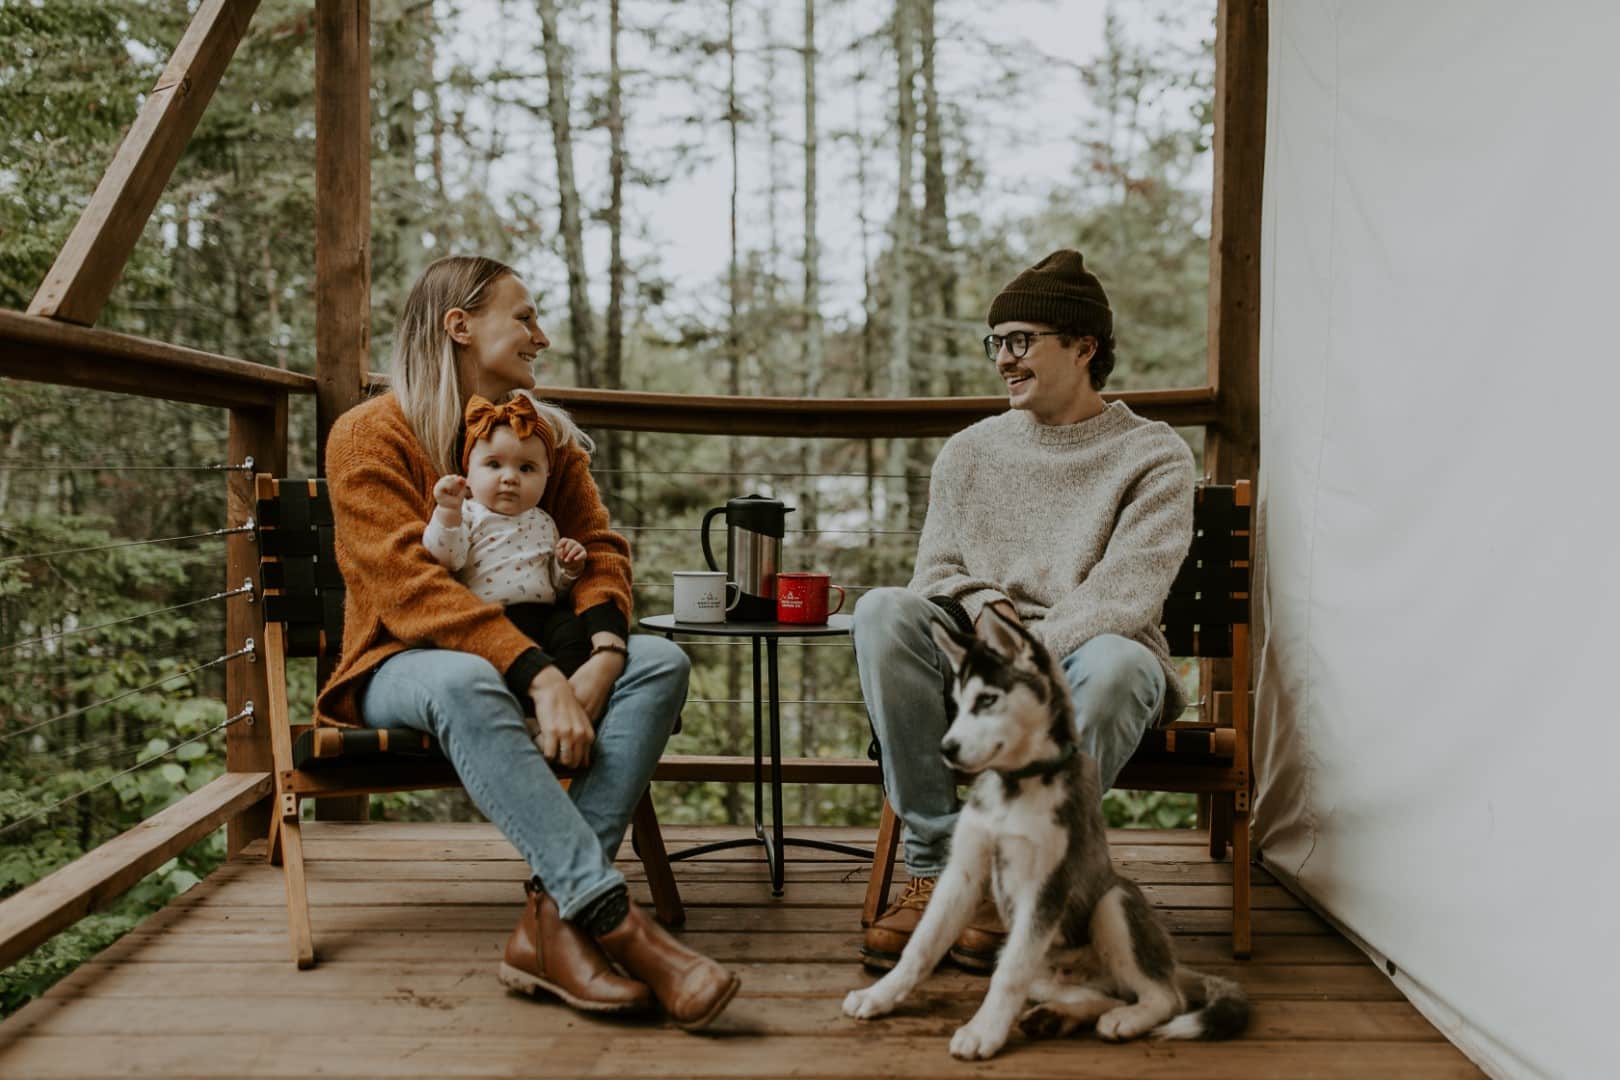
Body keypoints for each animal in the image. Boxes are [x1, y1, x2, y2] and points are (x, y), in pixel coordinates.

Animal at [842, 608, 1244, 1062]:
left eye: (987, 700)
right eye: (958, 705)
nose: (946, 749)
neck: (1015, 789)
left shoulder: (1047, 885)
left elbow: (1009, 977)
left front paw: (982, 1031)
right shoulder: (963, 874)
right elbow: (922, 945)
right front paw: (880, 994)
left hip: (1113, 903)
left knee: (1165, 996)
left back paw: (1124, 1019)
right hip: (1032, 960)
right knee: (1099, 993)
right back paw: (1058, 1016)